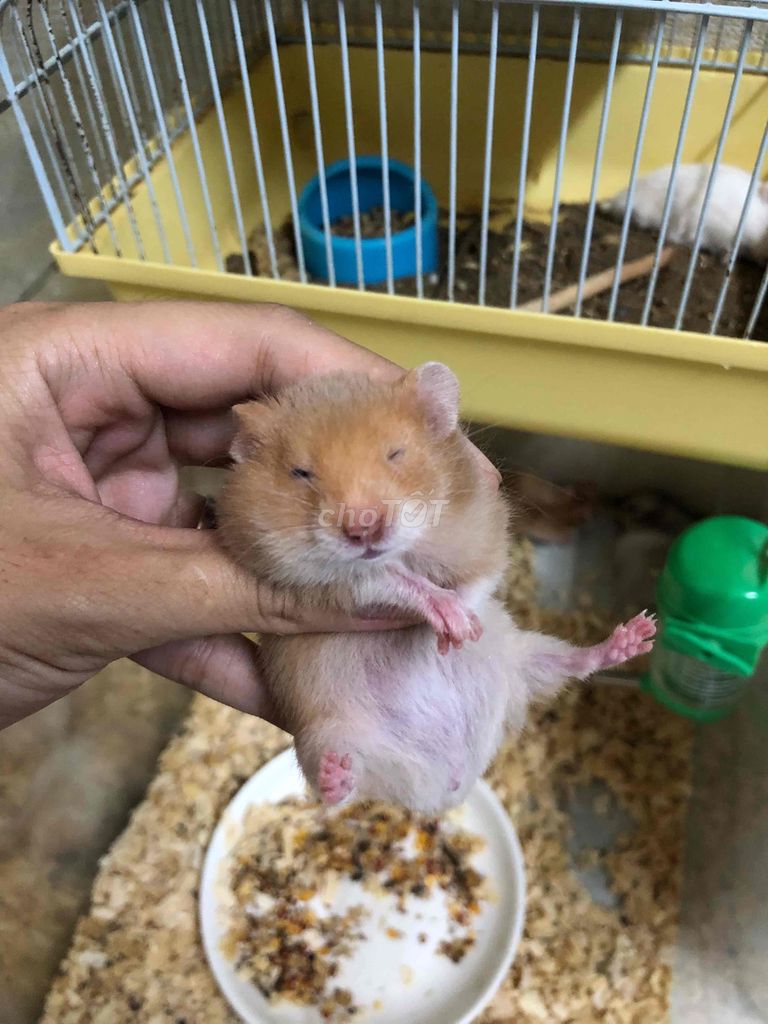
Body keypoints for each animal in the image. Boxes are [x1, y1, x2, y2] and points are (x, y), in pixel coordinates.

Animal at [217, 363, 656, 815]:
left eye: (395, 453)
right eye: (300, 473)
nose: (363, 528)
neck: (406, 548)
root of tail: (447, 786)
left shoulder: (485, 531)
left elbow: (477, 581)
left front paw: (459, 634)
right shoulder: (324, 579)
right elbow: (394, 581)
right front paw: (450, 623)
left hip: (521, 656)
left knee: (574, 663)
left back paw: (635, 636)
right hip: (325, 732)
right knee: (341, 788)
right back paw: (335, 774)